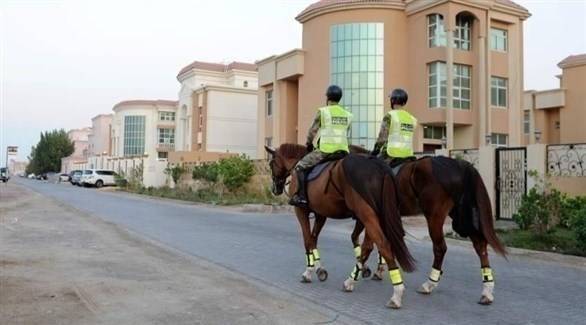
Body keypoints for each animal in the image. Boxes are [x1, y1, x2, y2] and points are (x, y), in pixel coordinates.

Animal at [264, 143, 416, 308]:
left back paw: (396, 293)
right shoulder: (321, 215)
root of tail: (379, 166)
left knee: (383, 245)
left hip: (367, 215)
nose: (275, 189)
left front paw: (311, 271)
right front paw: (319, 269)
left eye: (271, 164)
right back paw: (354, 279)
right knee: (369, 246)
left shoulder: (301, 211)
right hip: (374, 215)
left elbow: (308, 241)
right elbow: (314, 239)